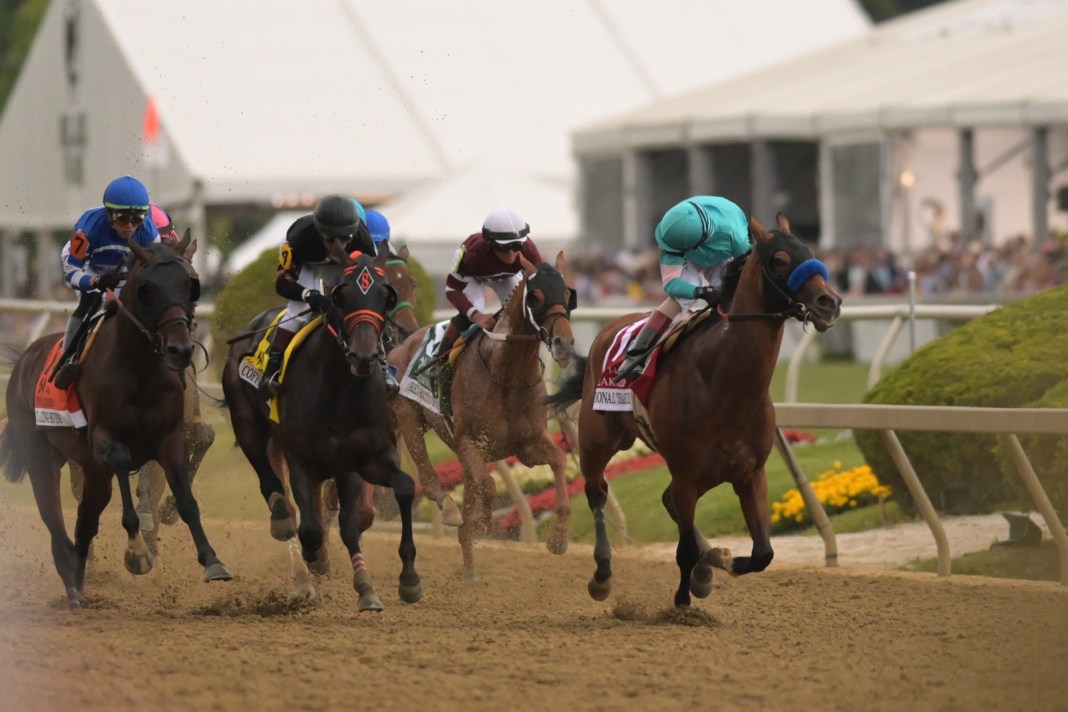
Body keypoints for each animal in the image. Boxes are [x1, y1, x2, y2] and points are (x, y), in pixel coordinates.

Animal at [0, 233, 231, 614]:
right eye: (147, 289)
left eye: (191, 284)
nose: (180, 349)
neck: (139, 369)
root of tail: (25, 358)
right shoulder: (104, 442)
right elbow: (124, 466)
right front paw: (137, 553)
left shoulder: (170, 438)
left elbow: (187, 497)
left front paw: (212, 561)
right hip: (42, 458)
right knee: (56, 520)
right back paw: (72, 585)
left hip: (91, 472)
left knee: (84, 522)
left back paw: (81, 575)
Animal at [223, 250, 422, 614]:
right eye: (341, 296)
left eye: (391, 291)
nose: (364, 355)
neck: (339, 391)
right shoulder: (301, 459)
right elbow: (311, 528)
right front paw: (317, 560)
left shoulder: (364, 457)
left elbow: (381, 502)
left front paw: (401, 582)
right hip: (250, 428)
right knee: (279, 496)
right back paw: (295, 554)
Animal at [388, 250, 576, 580]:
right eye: (536, 297)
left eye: (567, 294)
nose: (564, 344)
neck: (505, 374)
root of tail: (399, 348)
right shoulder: (468, 442)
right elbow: (487, 484)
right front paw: (481, 523)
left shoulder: (528, 446)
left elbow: (559, 461)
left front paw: (558, 538)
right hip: (410, 418)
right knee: (428, 475)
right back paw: (451, 510)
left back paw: (469, 570)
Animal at [546, 215, 837, 606]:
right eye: (778, 260)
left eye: (810, 250)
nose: (829, 301)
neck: (726, 387)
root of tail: (608, 330)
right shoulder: (686, 475)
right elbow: (683, 550)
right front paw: (686, 597)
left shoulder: (750, 472)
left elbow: (763, 553)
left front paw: (721, 561)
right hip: (596, 441)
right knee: (597, 492)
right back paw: (603, 574)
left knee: (664, 500)